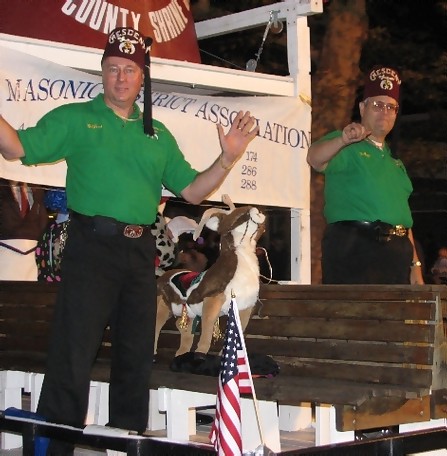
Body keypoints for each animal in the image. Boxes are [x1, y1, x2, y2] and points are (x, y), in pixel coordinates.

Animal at [155, 195, 266, 360]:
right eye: (236, 214)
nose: (255, 210)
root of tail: (163, 274)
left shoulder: (245, 308)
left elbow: (237, 334)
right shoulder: (212, 301)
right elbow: (207, 331)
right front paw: (201, 355)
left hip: (187, 314)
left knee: (183, 328)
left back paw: (181, 355)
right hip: (162, 305)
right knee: (156, 326)